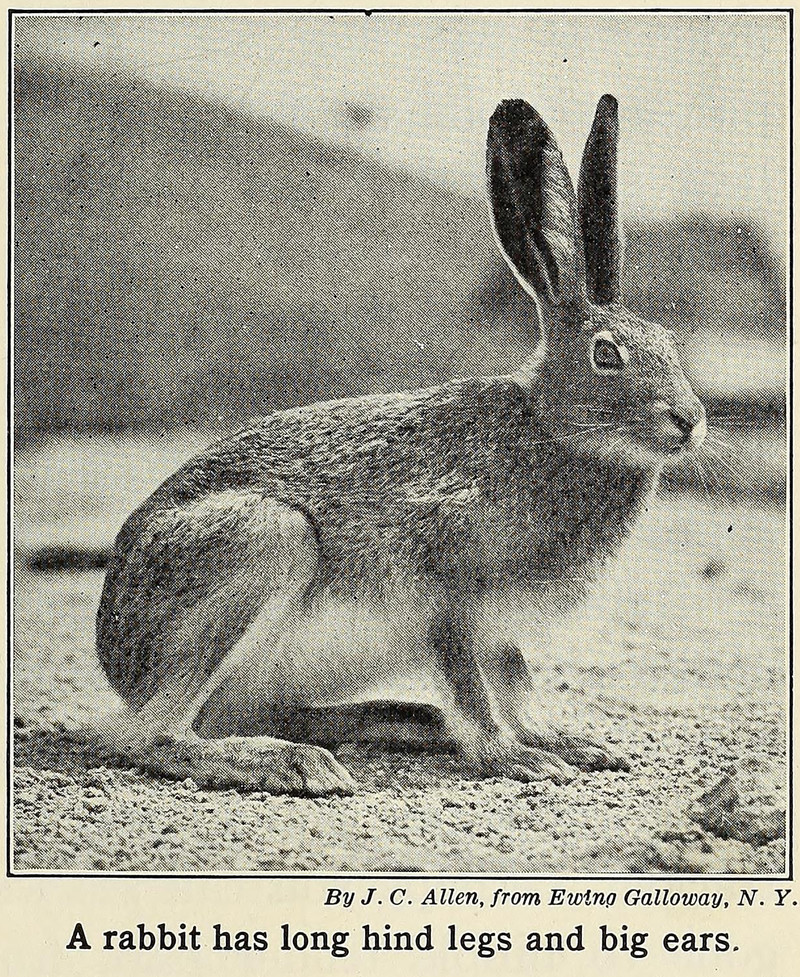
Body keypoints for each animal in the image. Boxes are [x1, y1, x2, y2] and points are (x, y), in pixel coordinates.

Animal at [94, 95, 706, 796]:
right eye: (607, 355)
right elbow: (474, 688)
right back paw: (295, 763)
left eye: (670, 342)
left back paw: (399, 726)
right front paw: (515, 757)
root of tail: (114, 652)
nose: (691, 420)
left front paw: (568, 743)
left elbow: (516, 687)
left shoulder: (502, 634)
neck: (553, 429)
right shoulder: (447, 597)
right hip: (263, 543)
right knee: (155, 736)